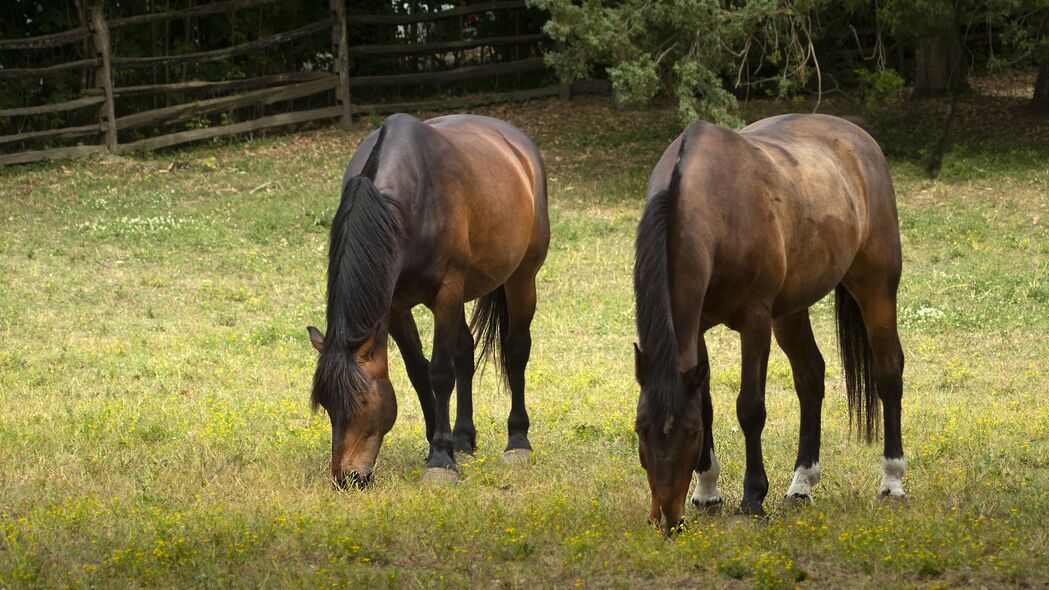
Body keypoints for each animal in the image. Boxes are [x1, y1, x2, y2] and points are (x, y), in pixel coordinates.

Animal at [306, 112, 549, 485]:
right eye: (329, 406)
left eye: (362, 403)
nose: (346, 478)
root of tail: (519, 145)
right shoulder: (394, 307)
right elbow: (419, 372)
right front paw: (442, 444)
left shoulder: (446, 294)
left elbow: (440, 373)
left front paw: (440, 461)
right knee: (465, 351)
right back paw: (463, 439)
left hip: (522, 277)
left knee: (516, 348)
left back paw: (518, 442)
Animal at [633, 112, 906, 531]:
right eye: (640, 429)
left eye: (690, 433)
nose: (667, 517)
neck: (714, 202)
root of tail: (858, 138)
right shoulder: (697, 328)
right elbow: (707, 402)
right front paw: (707, 492)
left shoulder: (755, 320)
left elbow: (750, 408)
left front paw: (752, 498)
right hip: (790, 310)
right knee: (810, 377)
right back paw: (801, 485)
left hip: (875, 287)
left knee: (888, 371)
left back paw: (892, 481)